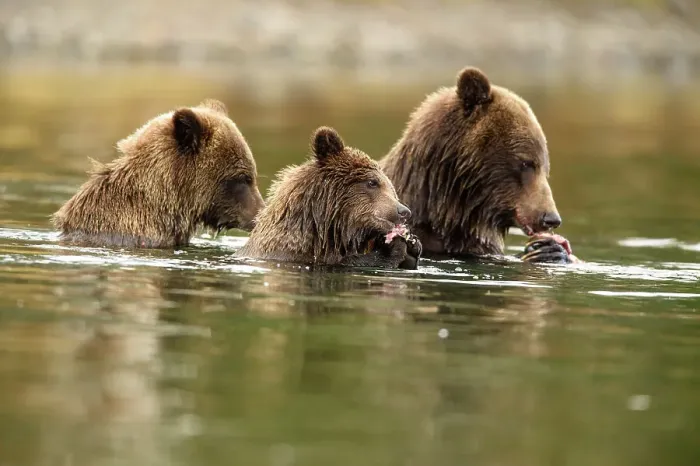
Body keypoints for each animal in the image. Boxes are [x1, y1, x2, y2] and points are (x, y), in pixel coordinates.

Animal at [237, 126, 422, 269]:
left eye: (392, 188)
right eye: (372, 182)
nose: (404, 211)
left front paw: (413, 245)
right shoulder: (294, 255)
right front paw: (392, 248)